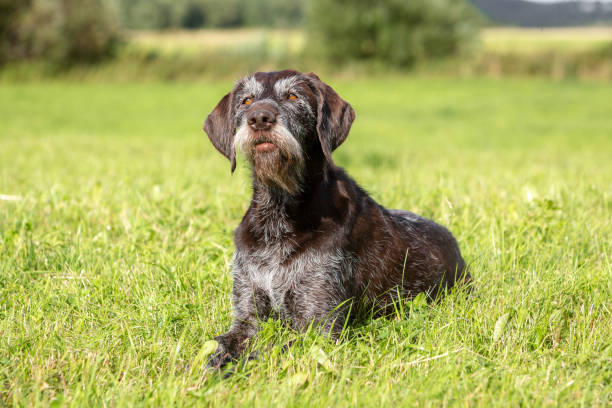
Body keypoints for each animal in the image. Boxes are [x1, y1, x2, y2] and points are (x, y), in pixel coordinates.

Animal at [203, 70, 466, 370]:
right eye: (246, 100)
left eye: (293, 96)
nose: (259, 118)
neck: (278, 215)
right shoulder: (247, 317)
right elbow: (217, 345)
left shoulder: (320, 328)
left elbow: (265, 354)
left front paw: (233, 371)